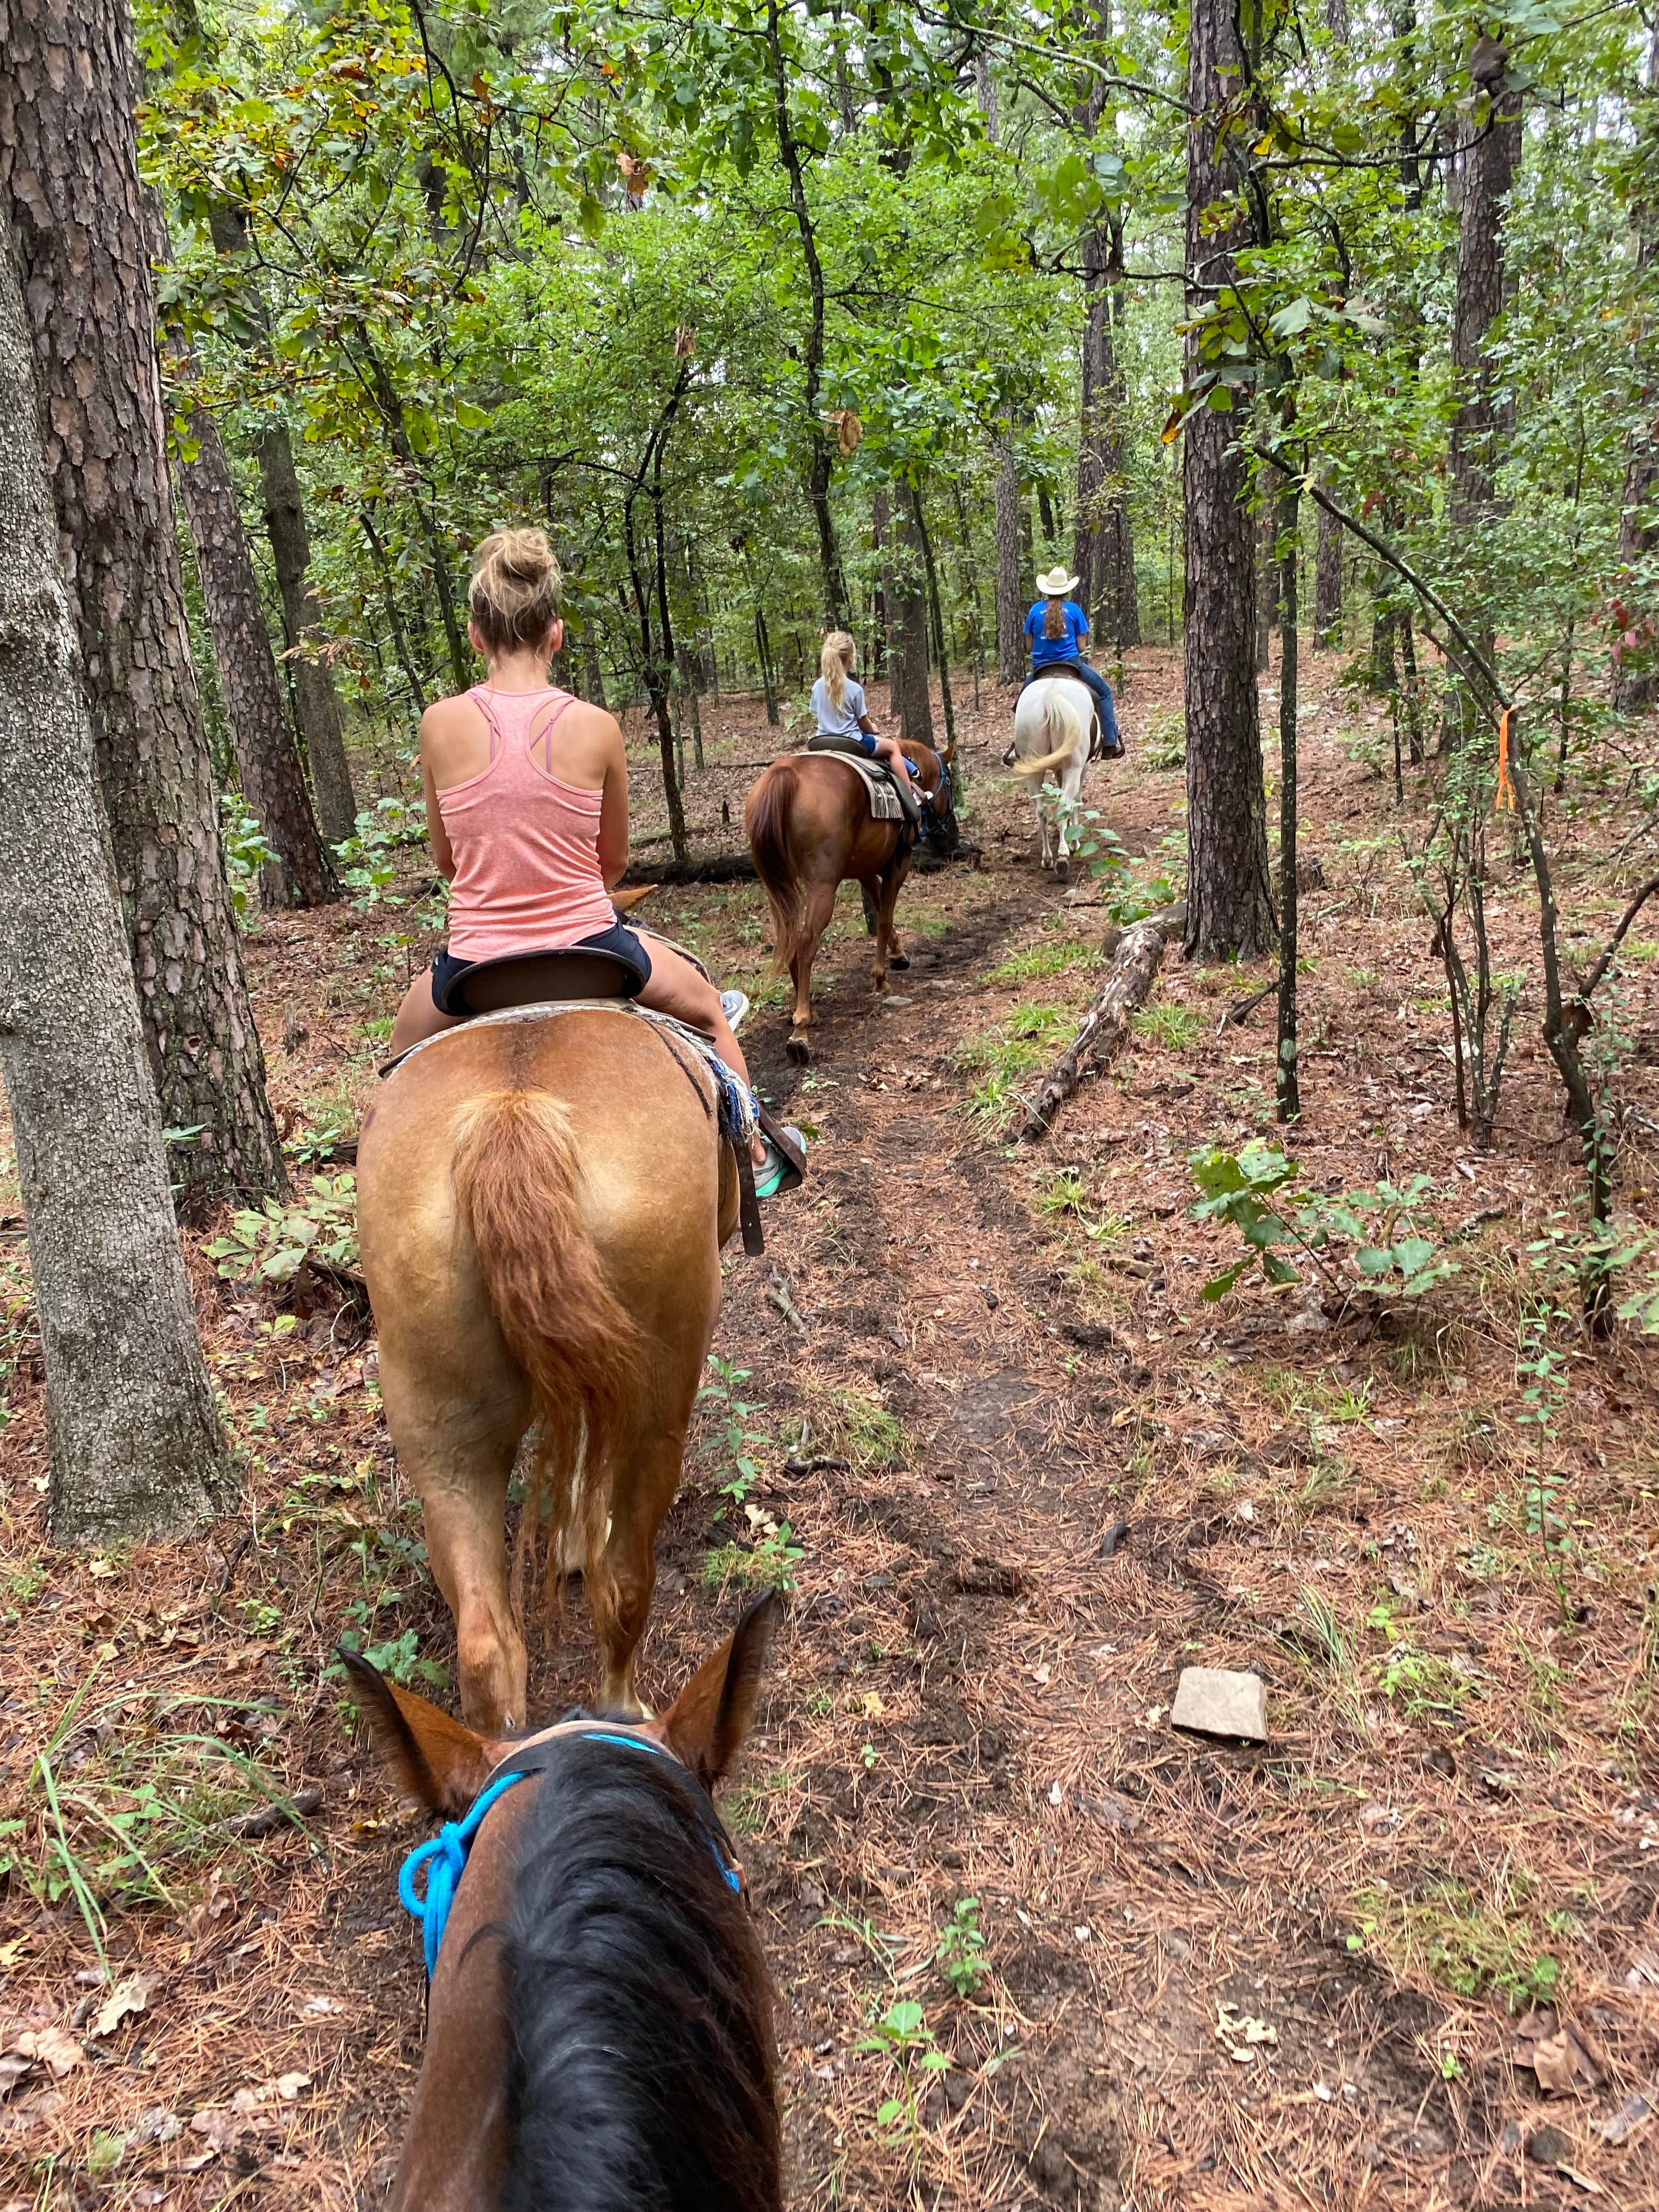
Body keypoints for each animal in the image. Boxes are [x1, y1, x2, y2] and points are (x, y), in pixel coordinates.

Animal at [356, 1010, 740, 1733]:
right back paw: (624, 1706)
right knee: (626, 1583)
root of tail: (511, 1113)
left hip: (442, 1431)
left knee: (486, 1642)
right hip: (657, 1406)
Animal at [744, 742, 957, 1061]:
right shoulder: (898, 865)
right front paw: (881, 978)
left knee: (791, 937)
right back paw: (801, 1029)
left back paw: (808, 1010)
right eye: (952, 783)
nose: (952, 837)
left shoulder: (865, 869)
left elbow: (880, 906)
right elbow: (884, 917)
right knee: (806, 942)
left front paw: (899, 955)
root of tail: (785, 774)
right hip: (823, 885)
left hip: (778, 884)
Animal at [1005, 675, 1096, 879]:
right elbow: (1076, 802)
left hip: (1033, 768)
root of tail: (1050, 695)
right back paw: (1062, 856)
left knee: (1041, 811)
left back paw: (1047, 859)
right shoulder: (1082, 768)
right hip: (1074, 766)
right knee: (1064, 806)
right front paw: (1074, 841)